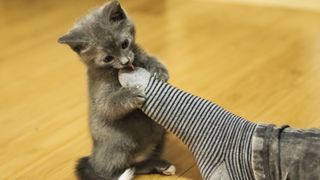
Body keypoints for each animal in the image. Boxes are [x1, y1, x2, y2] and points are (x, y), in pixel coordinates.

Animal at [56, 0, 174, 179]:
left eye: (125, 44)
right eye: (108, 58)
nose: (125, 62)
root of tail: (93, 157)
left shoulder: (139, 52)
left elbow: (150, 58)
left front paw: (159, 70)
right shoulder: (100, 91)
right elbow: (109, 105)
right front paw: (131, 95)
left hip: (160, 135)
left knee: (139, 164)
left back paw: (160, 165)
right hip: (119, 144)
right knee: (108, 171)